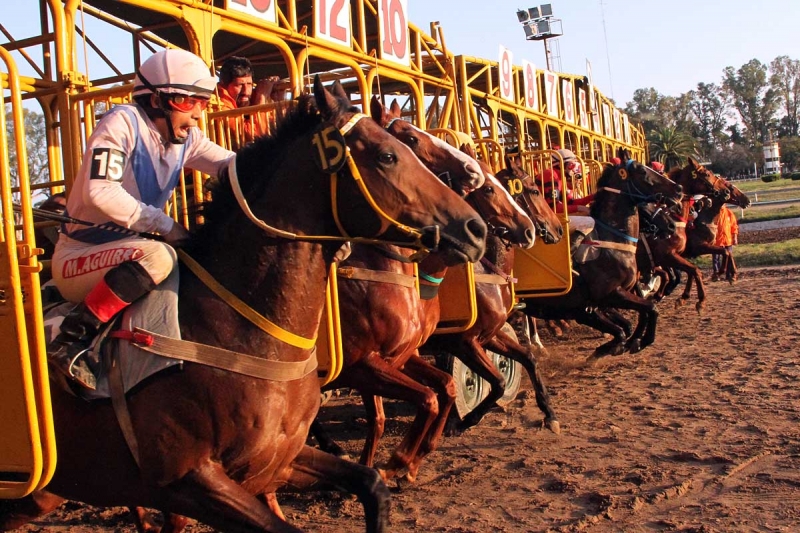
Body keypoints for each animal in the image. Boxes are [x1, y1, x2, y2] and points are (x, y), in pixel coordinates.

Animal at [1, 77, 488, 532]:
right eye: (391, 153)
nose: (476, 227)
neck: (240, 329)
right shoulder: (193, 482)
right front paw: (402, 462)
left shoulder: (278, 460)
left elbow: (374, 480)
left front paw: (396, 467)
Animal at [310, 97, 536, 484]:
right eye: (411, 138)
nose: (530, 229)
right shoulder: (373, 362)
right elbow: (387, 415)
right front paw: (386, 466)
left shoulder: (410, 355)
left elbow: (444, 388)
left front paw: (409, 461)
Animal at [520, 150, 684, 356]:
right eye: (641, 171)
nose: (678, 189)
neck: (613, 240)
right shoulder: (610, 294)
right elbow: (648, 309)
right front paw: (638, 341)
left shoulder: (606, 300)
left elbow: (640, 314)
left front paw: (631, 341)